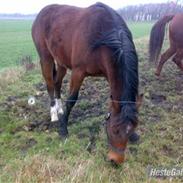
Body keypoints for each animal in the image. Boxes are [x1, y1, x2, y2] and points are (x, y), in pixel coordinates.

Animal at [31, 2, 142, 164]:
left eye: (130, 129)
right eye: (115, 130)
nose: (115, 161)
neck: (102, 37)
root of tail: (41, 13)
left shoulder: (109, 72)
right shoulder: (78, 72)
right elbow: (72, 99)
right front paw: (63, 130)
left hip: (61, 61)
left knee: (57, 83)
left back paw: (59, 109)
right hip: (46, 58)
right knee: (50, 84)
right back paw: (54, 114)